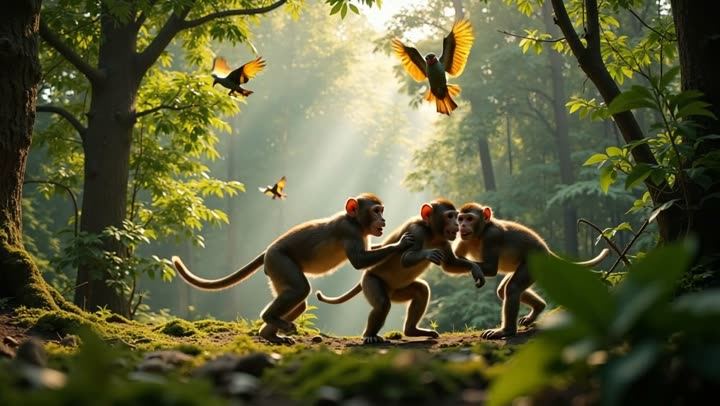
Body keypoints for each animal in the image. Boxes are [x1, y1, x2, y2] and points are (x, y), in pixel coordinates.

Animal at [171, 193, 415, 344]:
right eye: (376, 211)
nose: (383, 220)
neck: (355, 221)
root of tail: (267, 251)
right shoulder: (349, 231)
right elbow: (358, 261)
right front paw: (400, 244)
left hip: (275, 273)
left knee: (298, 301)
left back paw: (269, 334)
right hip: (279, 261)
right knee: (299, 290)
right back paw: (269, 318)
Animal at [316, 199, 485, 344]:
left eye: (457, 217)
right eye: (450, 216)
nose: (457, 224)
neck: (431, 232)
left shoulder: (443, 240)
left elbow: (449, 265)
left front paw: (475, 269)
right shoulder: (416, 232)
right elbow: (406, 259)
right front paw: (427, 254)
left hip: (397, 292)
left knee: (421, 291)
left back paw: (412, 331)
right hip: (370, 281)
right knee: (382, 303)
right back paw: (370, 335)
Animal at [454, 203, 611, 339]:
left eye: (469, 219)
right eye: (460, 219)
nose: (462, 226)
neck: (480, 233)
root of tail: (546, 249)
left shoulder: (492, 236)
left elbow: (492, 269)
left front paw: (474, 269)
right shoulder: (463, 238)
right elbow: (457, 256)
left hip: (534, 264)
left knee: (512, 288)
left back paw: (507, 331)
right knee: (503, 290)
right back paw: (539, 308)